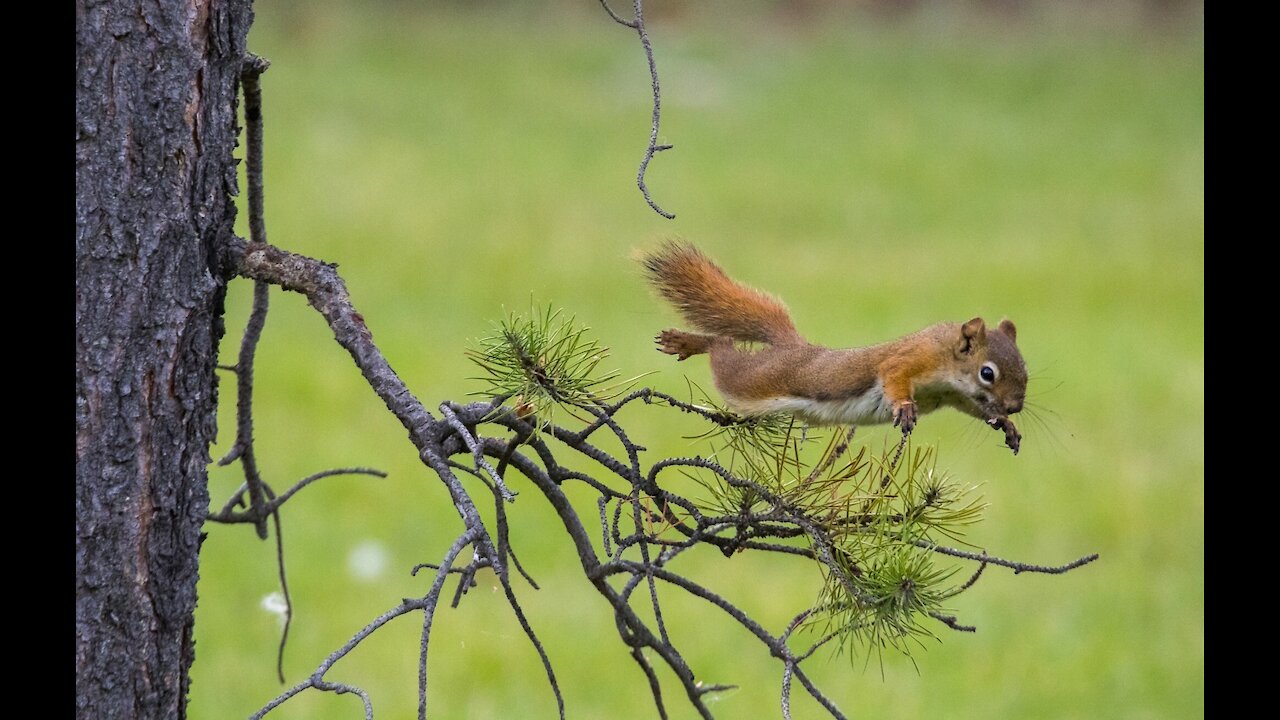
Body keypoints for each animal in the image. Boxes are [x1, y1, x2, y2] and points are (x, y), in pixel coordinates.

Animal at [645, 242, 1024, 453]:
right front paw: (903, 407)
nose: (1016, 406)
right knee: (722, 348)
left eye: (1025, 370)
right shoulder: (912, 359)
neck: (946, 357)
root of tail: (793, 346)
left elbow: (975, 409)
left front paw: (1006, 425)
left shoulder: (956, 396)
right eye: (987, 373)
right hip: (748, 382)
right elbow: (893, 375)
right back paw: (688, 342)